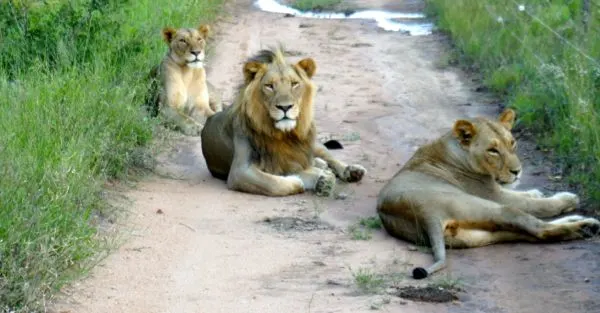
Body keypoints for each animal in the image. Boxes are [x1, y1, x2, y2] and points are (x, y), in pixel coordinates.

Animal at [202, 46, 366, 196]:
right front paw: (311, 180)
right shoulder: (239, 171)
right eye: (269, 86)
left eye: (294, 84)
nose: (285, 107)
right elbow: (273, 183)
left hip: (314, 144)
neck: (284, 134)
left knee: (328, 156)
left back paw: (352, 170)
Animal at [378, 108, 596, 280]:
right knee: (538, 228)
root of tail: (423, 214)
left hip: (483, 234)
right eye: (493, 150)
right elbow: (538, 205)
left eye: (512, 143)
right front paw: (567, 198)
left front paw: (536, 192)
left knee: (529, 233)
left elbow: (526, 195)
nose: (517, 171)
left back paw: (581, 222)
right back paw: (586, 227)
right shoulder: (493, 195)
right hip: (490, 207)